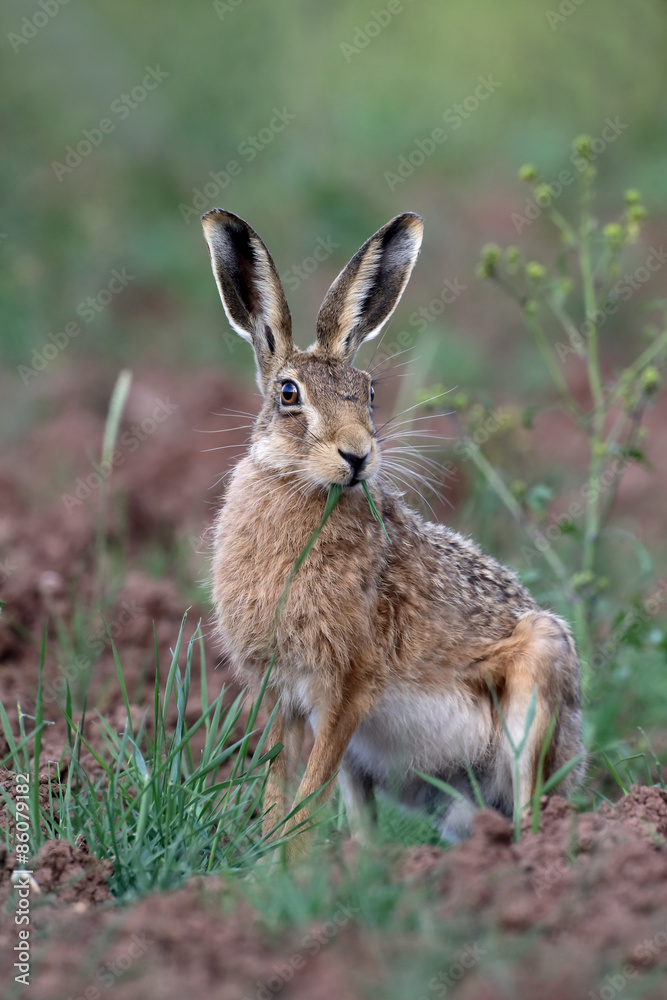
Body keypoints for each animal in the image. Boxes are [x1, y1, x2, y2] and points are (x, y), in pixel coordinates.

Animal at [201, 208, 585, 854]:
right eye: (288, 394)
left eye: (370, 394)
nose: (357, 455)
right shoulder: (281, 695)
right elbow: (282, 791)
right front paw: (270, 867)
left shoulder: (348, 686)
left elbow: (305, 798)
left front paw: (287, 865)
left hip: (540, 674)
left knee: (532, 805)